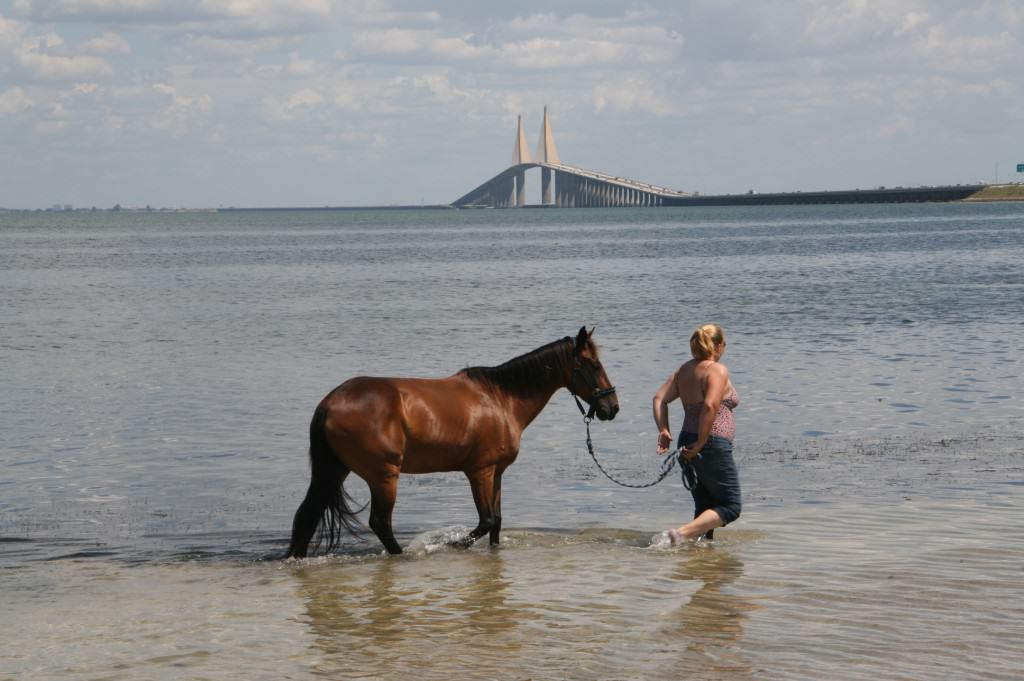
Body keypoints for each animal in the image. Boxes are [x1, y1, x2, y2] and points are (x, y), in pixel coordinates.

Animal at [284, 327, 618, 557]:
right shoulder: (479, 471)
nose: (612, 407)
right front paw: (453, 545)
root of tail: (330, 402)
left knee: (307, 517)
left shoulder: (496, 473)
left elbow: (496, 521)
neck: (501, 399)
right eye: (594, 365)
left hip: (334, 470)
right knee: (380, 522)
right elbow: (485, 521)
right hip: (384, 476)